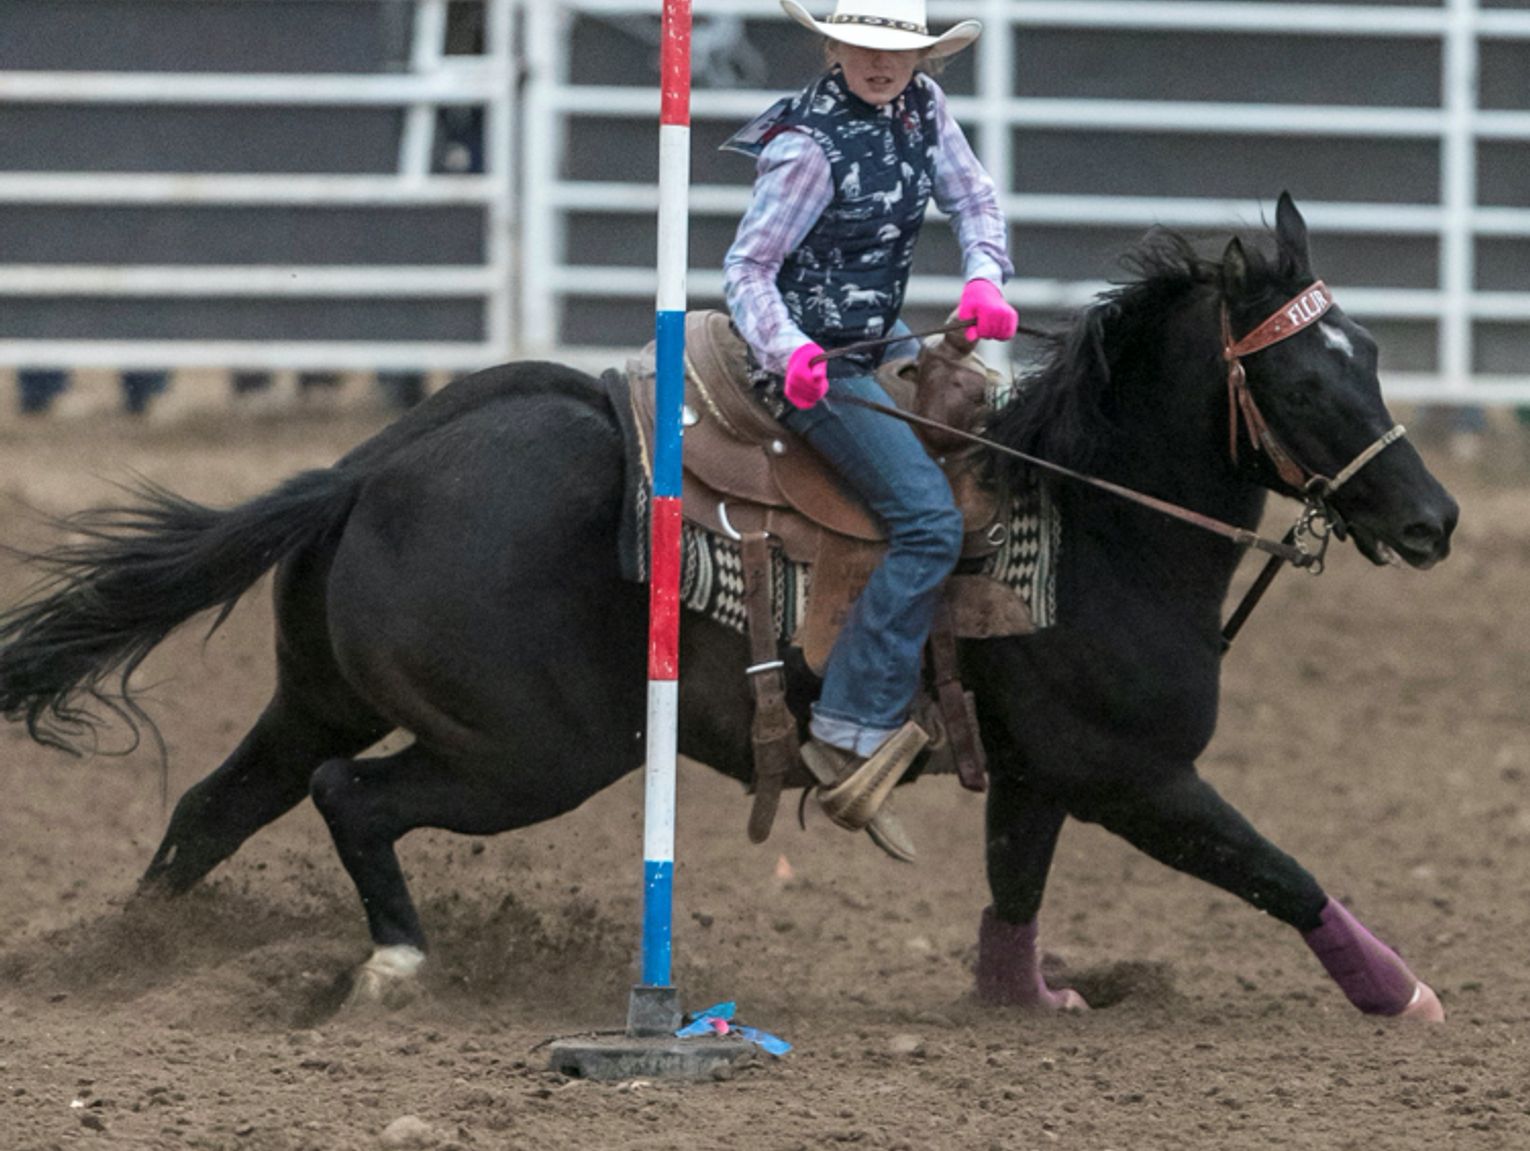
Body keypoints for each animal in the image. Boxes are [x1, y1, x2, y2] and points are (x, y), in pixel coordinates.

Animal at [0, 195, 1456, 1016]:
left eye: (1376, 354)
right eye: (1310, 381)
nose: (1432, 519)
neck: (1087, 521)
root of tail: (367, 468)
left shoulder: (1043, 774)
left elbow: (1015, 892)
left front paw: (1027, 997)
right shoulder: (1133, 773)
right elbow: (1274, 866)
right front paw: (1400, 990)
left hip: (321, 692)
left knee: (215, 805)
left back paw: (124, 955)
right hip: (530, 754)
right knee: (351, 798)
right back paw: (394, 966)